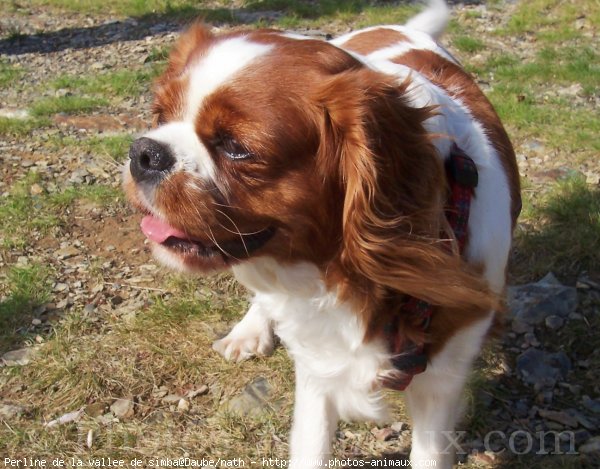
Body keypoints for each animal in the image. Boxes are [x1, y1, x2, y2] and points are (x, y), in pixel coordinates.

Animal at [123, 1, 520, 466]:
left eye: (237, 147)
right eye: (160, 116)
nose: (144, 152)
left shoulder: (442, 383)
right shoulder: (316, 368)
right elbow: (310, 446)